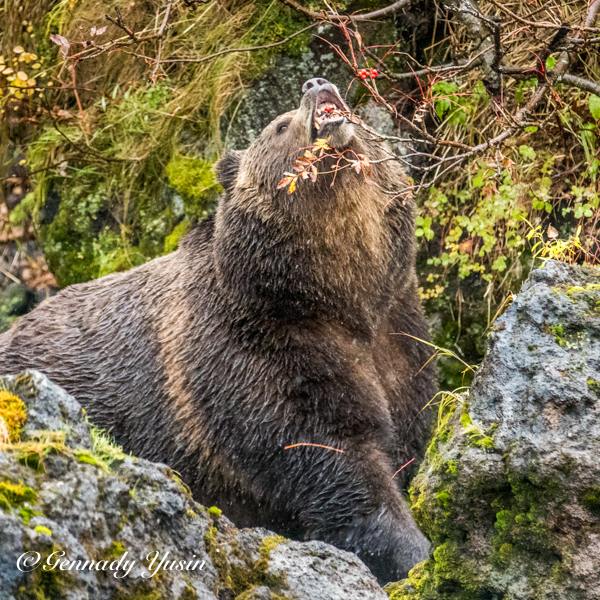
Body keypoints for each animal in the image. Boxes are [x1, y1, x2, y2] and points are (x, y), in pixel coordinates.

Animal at [0, 77, 434, 584]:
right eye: (279, 124)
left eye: (361, 119)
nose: (316, 83)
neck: (336, 298)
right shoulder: (252, 353)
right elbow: (332, 453)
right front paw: (411, 549)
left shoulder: (398, 338)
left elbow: (406, 434)